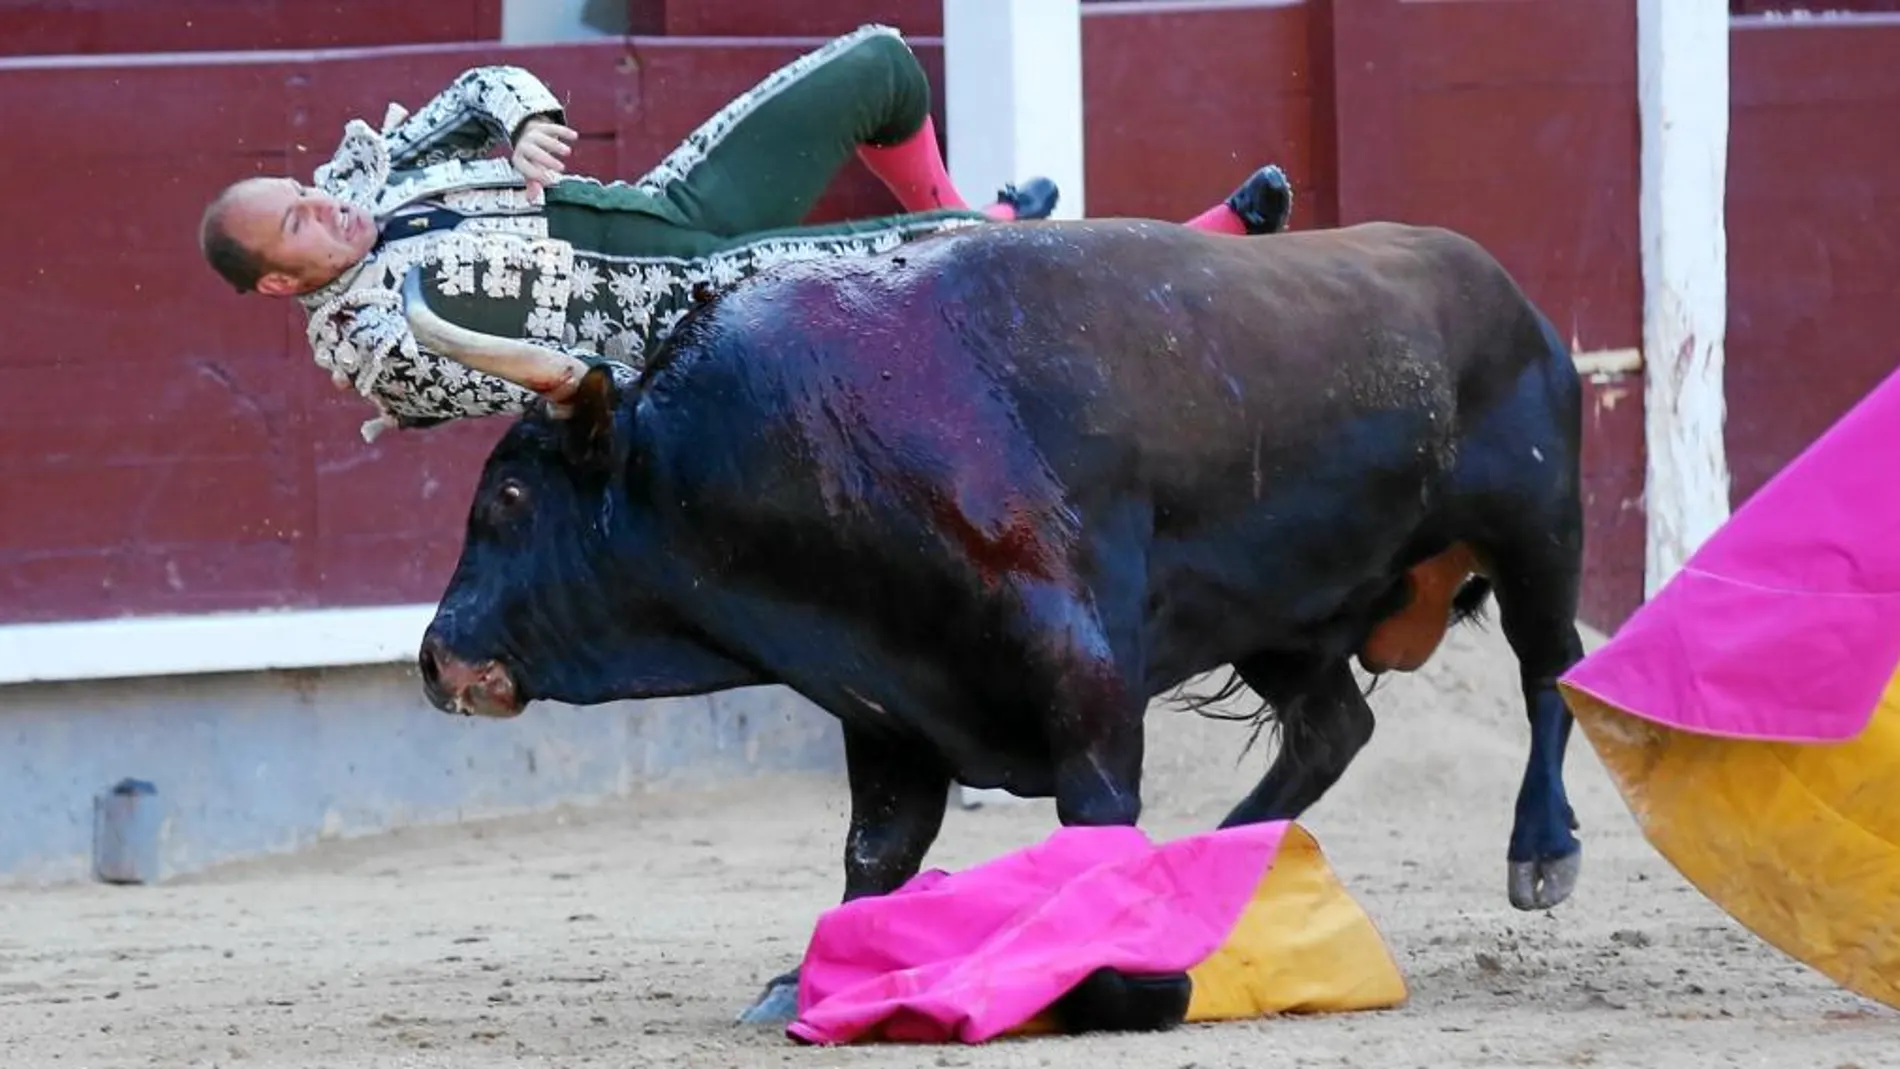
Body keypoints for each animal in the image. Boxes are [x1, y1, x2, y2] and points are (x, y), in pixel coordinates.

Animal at [412, 219, 1588, 1025]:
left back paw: (1543, 851)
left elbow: (1092, 819)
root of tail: (1502, 289)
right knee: (1333, 727)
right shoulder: (888, 704)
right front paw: (802, 975)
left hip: (1537, 526)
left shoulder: (1084, 672)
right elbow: (876, 852)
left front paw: (1124, 974)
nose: (434, 658)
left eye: (508, 495)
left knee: (1553, 672)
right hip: (1285, 619)